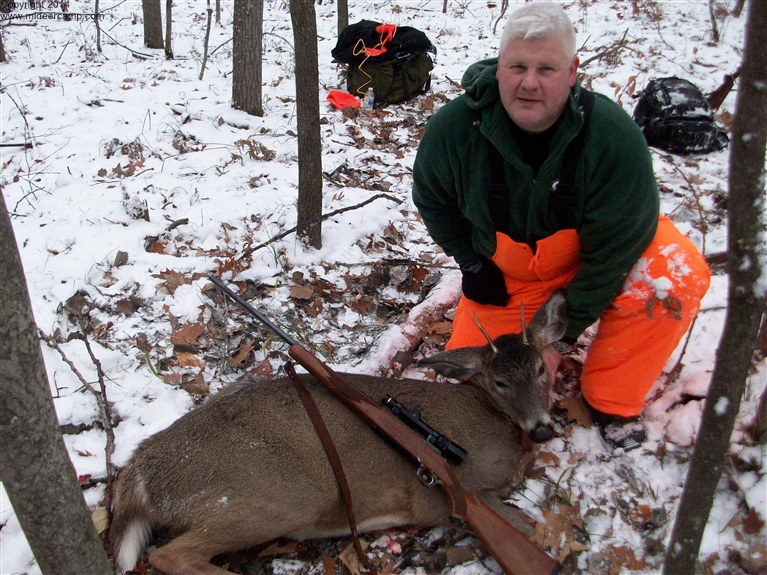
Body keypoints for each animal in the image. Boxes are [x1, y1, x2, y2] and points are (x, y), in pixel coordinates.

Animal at [111, 292, 568, 575]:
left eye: (540, 370)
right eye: (501, 383)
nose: (542, 430)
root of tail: (139, 472)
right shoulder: (453, 494)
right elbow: (527, 526)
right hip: (274, 497)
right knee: (171, 555)